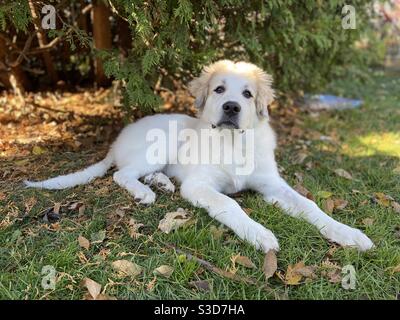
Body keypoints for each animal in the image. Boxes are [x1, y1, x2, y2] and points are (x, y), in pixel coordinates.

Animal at [25, 60, 376, 252]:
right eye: (219, 89)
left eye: (247, 94)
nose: (231, 107)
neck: (233, 142)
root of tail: (118, 138)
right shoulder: (198, 185)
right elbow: (230, 204)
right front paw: (259, 234)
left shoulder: (272, 185)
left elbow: (309, 205)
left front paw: (349, 234)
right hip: (163, 142)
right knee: (122, 173)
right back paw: (145, 191)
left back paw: (161, 182)